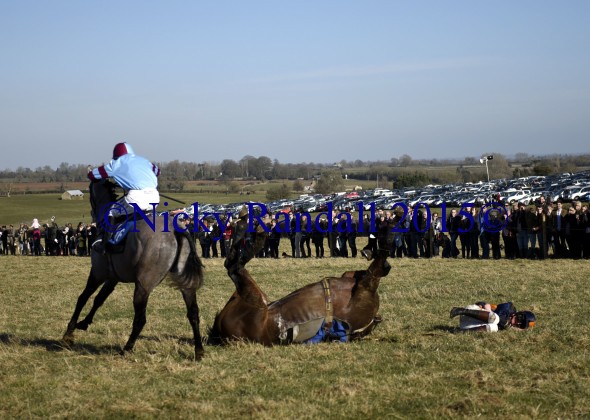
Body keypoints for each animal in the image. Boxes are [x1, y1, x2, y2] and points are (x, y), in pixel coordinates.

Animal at [63, 179, 207, 360]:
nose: (91, 215)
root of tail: (176, 229)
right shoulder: (113, 277)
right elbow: (99, 299)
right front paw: (84, 322)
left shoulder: (97, 273)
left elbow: (83, 297)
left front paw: (69, 332)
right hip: (185, 285)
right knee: (193, 313)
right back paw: (199, 350)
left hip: (143, 285)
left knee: (140, 319)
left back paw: (126, 348)